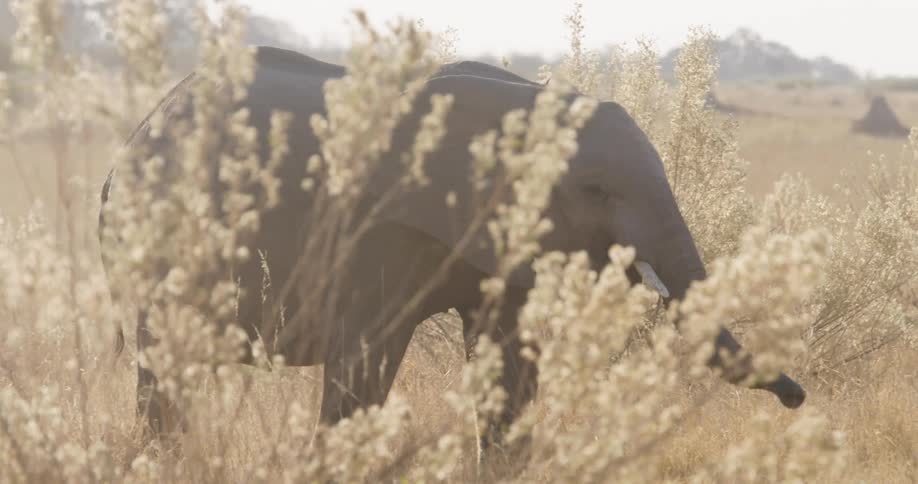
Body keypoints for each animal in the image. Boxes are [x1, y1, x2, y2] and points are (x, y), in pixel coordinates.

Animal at [99, 46, 806, 460]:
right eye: (595, 189)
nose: (798, 398)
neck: (525, 98)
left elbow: (509, 361)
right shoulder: (379, 229)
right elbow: (364, 361)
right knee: (163, 361)